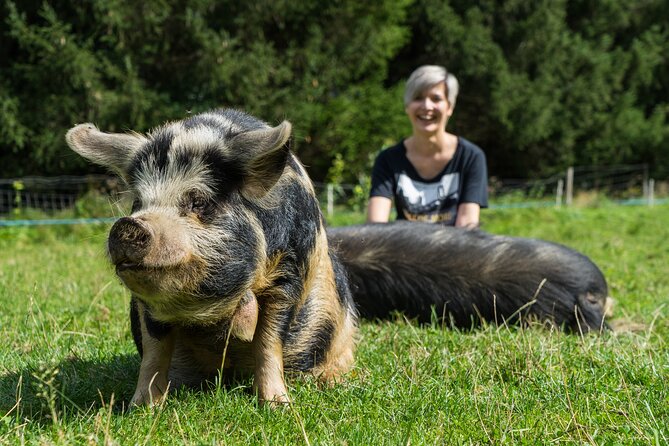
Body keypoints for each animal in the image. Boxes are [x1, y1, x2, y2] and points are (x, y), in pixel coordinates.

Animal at [67, 109, 358, 408]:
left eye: (198, 201)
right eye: (138, 202)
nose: (128, 225)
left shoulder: (289, 271)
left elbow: (269, 340)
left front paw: (278, 407)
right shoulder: (148, 306)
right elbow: (154, 352)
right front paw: (141, 407)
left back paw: (334, 381)